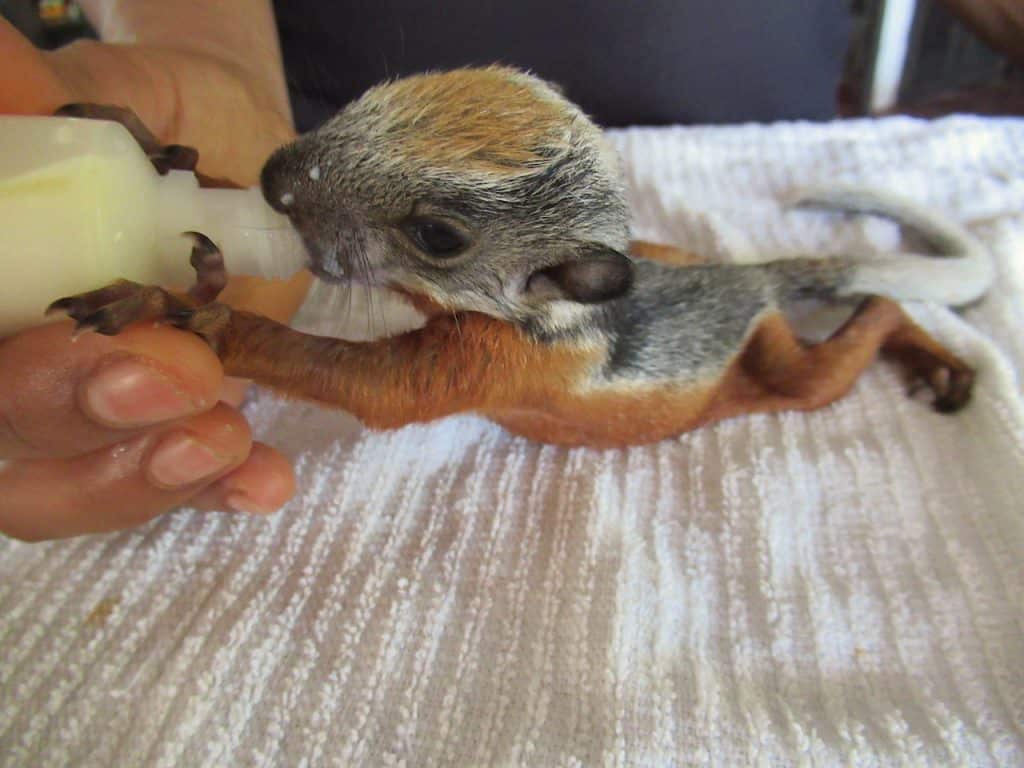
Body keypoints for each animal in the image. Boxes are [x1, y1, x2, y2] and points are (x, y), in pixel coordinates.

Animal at [50, 67, 992, 448]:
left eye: (439, 236)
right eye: (375, 95)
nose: (279, 174)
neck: (570, 314)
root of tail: (746, 275)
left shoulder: (496, 360)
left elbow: (371, 387)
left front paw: (186, 311)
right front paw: (163, 156)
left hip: (779, 364)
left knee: (861, 330)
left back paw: (932, 353)